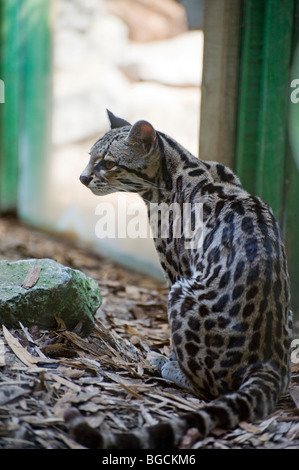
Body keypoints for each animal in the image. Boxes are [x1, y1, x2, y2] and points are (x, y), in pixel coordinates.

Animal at [65, 109, 292, 448]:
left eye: (108, 162)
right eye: (91, 157)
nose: (82, 177)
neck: (179, 167)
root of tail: (270, 361)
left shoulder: (176, 270)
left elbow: (172, 338)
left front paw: (168, 358)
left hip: (183, 296)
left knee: (209, 387)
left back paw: (170, 369)